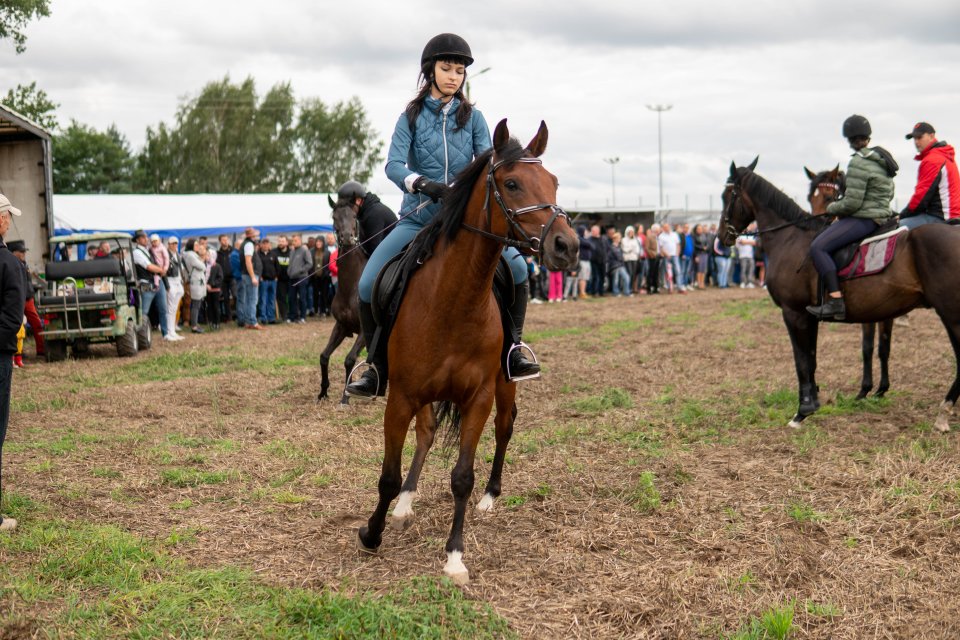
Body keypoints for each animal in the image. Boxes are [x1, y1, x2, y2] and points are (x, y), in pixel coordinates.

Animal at [352, 120, 576, 584]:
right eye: (512, 183)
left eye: (554, 181)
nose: (567, 245)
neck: (455, 299)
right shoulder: (401, 397)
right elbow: (388, 476)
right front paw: (373, 532)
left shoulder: (479, 398)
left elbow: (462, 477)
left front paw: (454, 556)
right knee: (426, 433)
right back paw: (404, 505)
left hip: (505, 386)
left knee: (505, 429)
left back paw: (491, 497)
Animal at [800, 165, 896, 400]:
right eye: (810, 198)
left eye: (828, 197)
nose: (815, 228)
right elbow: (877, 347)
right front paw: (877, 389)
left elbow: (873, 347)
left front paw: (868, 388)